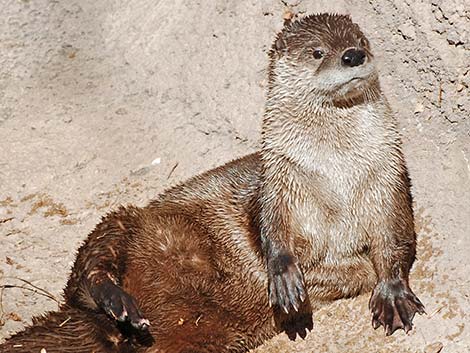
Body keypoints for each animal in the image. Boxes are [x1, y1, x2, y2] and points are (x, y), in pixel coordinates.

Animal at [0, 12, 424, 350]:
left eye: (361, 41)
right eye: (318, 52)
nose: (352, 55)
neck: (335, 175)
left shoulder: (388, 177)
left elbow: (393, 240)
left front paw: (392, 294)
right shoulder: (279, 178)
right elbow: (270, 231)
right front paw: (285, 275)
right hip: (123, 219)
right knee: (91, 265)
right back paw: (119, 302)